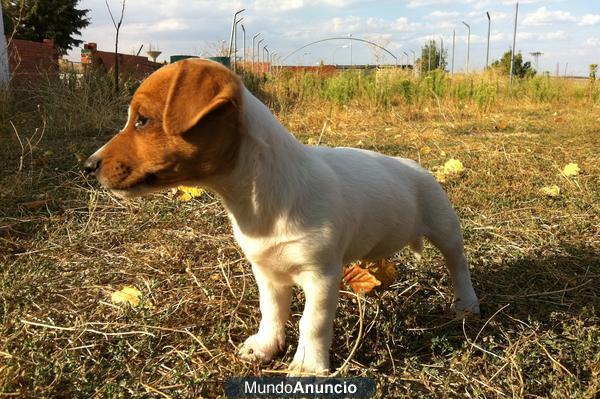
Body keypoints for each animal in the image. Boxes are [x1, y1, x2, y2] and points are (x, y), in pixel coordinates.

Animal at [84, 58, 480, 376]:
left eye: (143, 120)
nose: (87, 166)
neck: (254, 202)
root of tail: (414, 165)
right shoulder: (267, 272)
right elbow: (272, 312)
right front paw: (266, 346)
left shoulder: (322, 276)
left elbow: (312, 323)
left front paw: (308, 366)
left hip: (445, 228)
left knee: (458, 264)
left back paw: (467, 303)